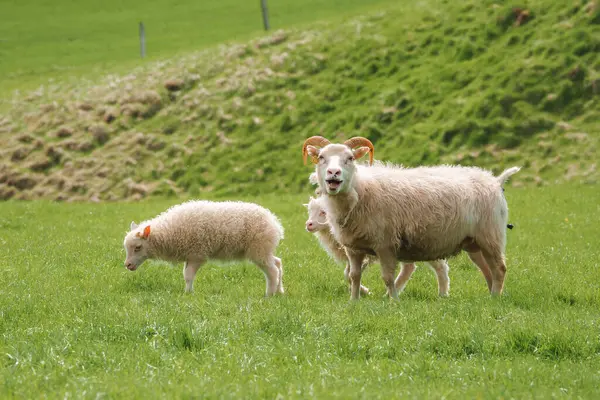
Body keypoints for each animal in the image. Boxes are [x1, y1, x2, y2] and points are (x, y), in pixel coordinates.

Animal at [122, 200, 286, 296]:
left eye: (138, 247)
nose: (127, 265)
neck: (169, 232)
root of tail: (275, 223)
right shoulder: (190, 255)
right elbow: (186, 275)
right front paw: (188, 292)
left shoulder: (197, 254)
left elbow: (188, 276)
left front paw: (188, 294)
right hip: (264, 250)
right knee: (277, 263)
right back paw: (279, 291)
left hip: (259, 249)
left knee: (272, 271)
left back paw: (269, 295)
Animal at [302, 135, 516, 300]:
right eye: (321, 157)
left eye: (350, 158)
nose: (334, 173)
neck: (361, 190)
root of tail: (494, 180)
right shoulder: (353, 248)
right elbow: (353, 276)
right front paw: (354, 301)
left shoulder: (385, 244)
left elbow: (387, 277)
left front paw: (394, 301)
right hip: (474, 243)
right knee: (488, 270)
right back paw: (490, 296)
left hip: (490, 236)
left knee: (499, 268)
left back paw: (495, 298)